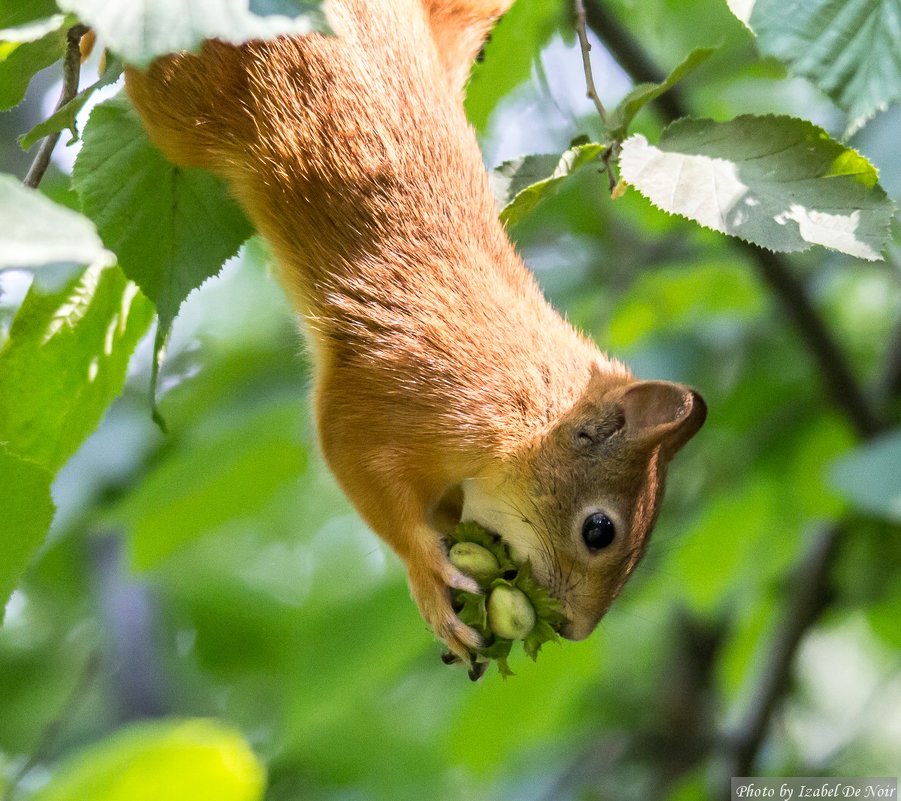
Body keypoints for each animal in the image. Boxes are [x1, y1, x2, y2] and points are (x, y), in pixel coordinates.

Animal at [125, 0, 704, 664]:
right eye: (599, 529)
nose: (575, 630)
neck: (523, 409)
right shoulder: (405, 394)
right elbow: (355, 457)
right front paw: (428, 573)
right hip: (181, 91)